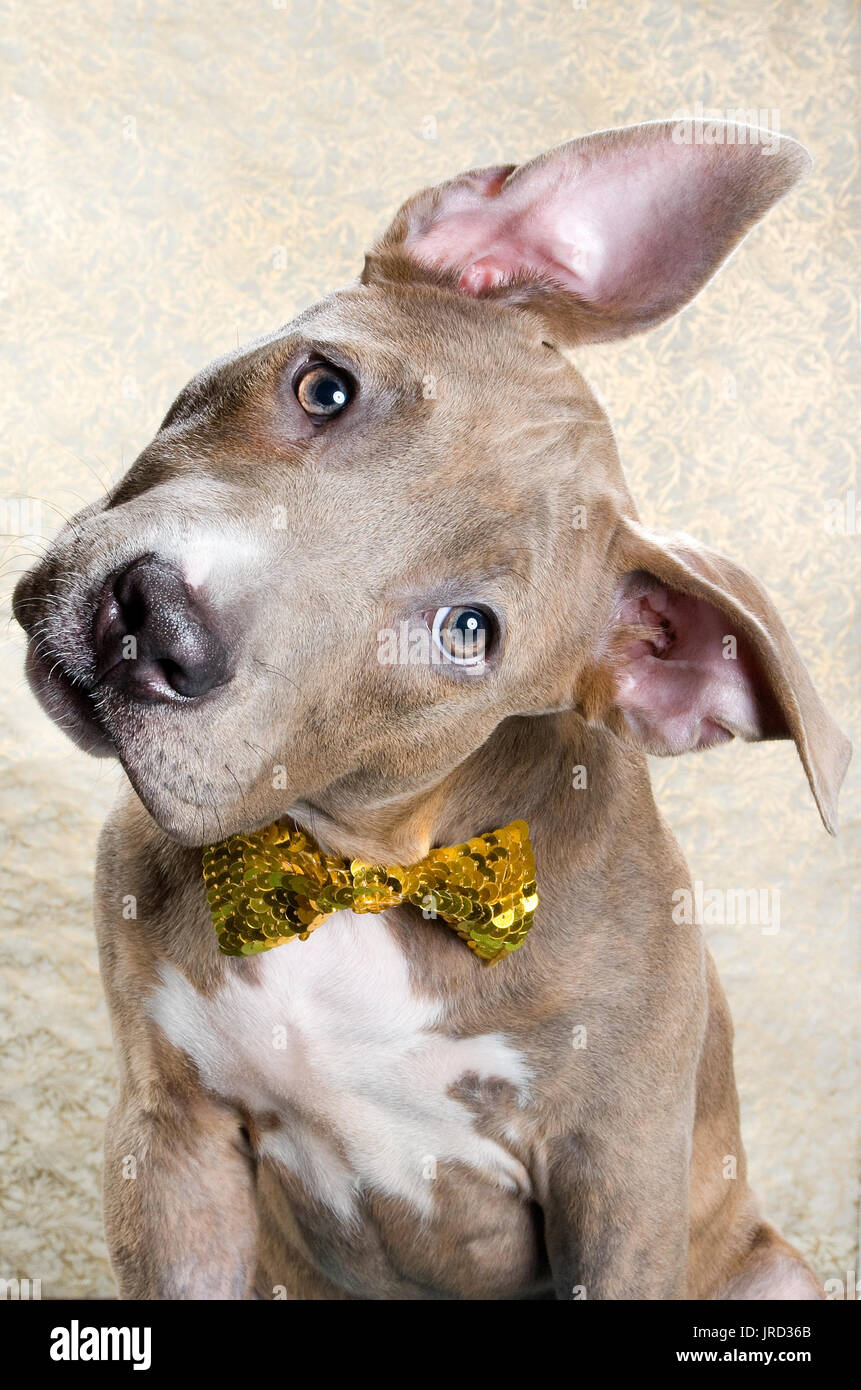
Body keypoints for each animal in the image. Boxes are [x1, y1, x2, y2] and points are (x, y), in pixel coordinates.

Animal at [13, 122, 851, 1301]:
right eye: (325, 388)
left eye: (466, 632)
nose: (158, 623)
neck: (365, 868)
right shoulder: (169, 1136)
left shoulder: (618, 1174)